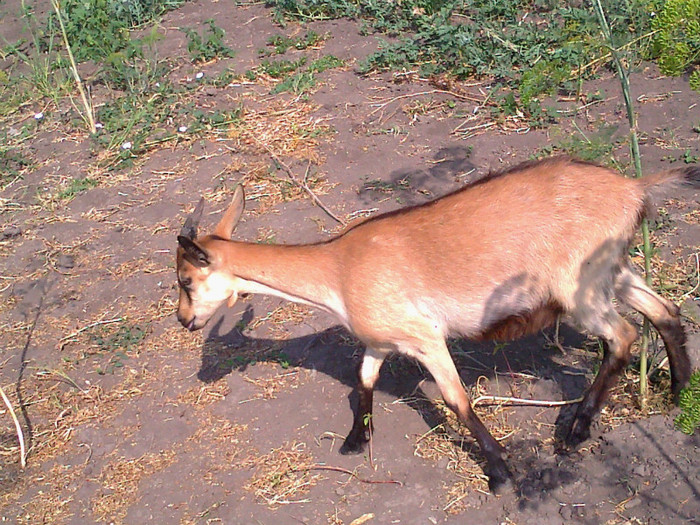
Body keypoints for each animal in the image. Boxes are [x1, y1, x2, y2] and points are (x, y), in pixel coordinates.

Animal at [175, 156, 696, 492]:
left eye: (185, 280)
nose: (184, 321)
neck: (338, 268)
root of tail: (634, 188)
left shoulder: (425, 337)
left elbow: (456, 399)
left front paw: (500, 472)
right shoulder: (381, 340)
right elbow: (363, 380)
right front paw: (354, 440)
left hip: (578, 288)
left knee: (624, 335)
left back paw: (576, 430)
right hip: (614, 272)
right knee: (665, 311)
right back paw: (679, 389)